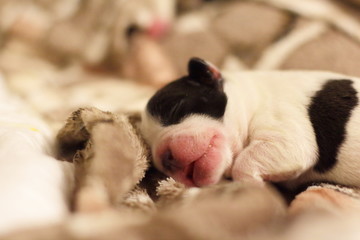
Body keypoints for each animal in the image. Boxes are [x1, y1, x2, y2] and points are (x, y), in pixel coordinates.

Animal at [140, 57, 360, 188]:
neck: (253, 98)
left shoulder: (285, 132)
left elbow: (244, 163)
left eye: (175, 108)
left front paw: (254, 187)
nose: (165, 158)